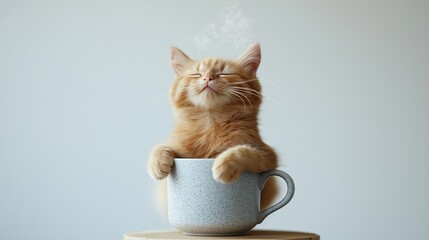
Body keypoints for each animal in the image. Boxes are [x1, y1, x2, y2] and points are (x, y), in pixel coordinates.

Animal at [149, 43, 280, 210]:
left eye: (224, 73)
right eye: (196, 74)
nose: (207, 77)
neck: (210, 124)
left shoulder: (268, 155)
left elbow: (244, 150)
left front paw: (225, 164)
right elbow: (162, 146)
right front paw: (157, 163)